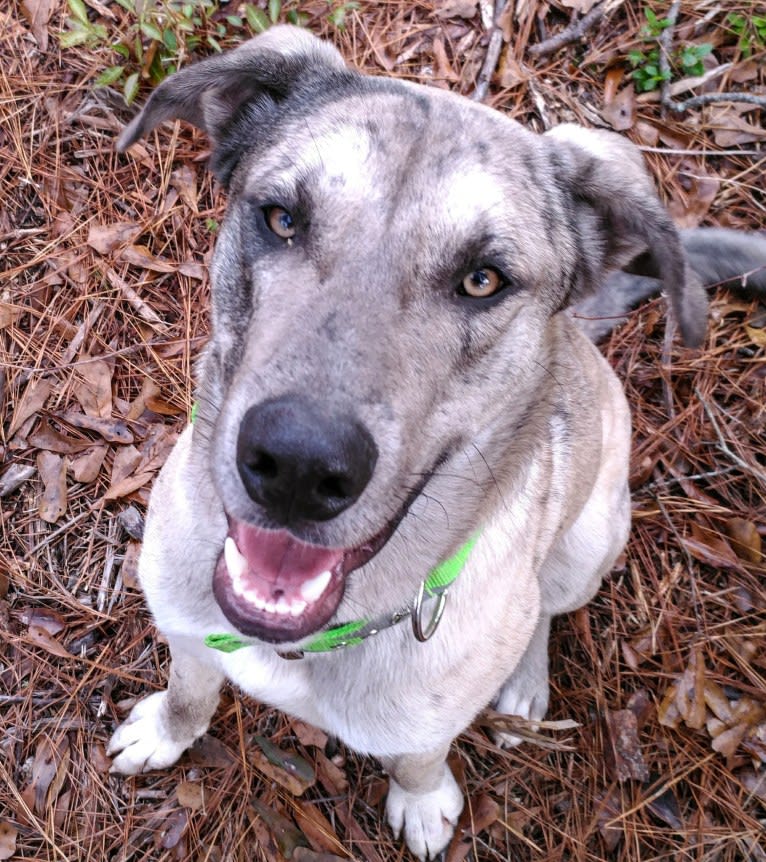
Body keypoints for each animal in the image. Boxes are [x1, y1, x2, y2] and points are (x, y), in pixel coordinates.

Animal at [106, 23, 766, 860]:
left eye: (483, 279)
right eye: (282, 217)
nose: (295, 466)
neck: (310, 637)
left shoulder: (425, 721)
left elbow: (420, 757)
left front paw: (423, 804)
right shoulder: (190, 639)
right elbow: (189, 692)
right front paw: (166, 732)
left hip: (587, 543)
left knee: (544, 611)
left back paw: (523, 686)